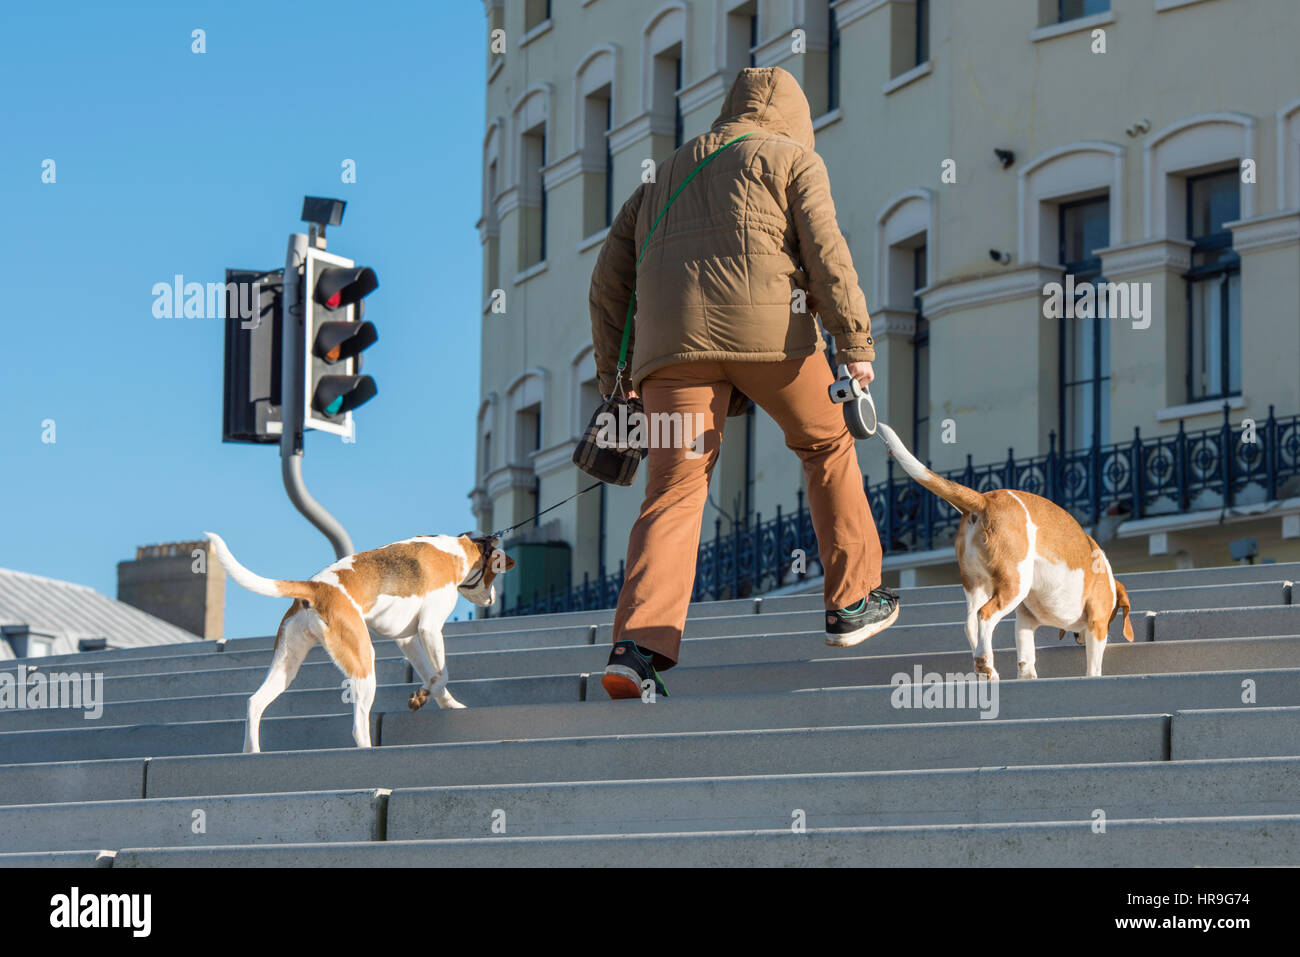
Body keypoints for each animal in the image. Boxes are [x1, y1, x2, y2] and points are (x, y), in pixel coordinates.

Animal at [202, 530, 512, 748]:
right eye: (494, 576)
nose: (492, 599)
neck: (456, 551)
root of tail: (315, 586)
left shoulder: (409, 639)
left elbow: (433, 676)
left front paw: (444, 703)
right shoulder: (430, 628)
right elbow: (443, 673)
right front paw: (422, 696)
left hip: (286, 666)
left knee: (254, 703)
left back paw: (251, 752)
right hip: (363, 662)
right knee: (359, 727)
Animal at [873, 426, 1138, 681]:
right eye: (1113, 614)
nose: (1077, 640)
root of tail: (985, 500)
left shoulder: (1025, 620)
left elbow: (1026, 659)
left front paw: (1027, 677)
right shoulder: (1097, 621)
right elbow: (1094, 665)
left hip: (975, 583)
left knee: (971, 623)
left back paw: (987, 668)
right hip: (1014, 585)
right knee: (985, 614)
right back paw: (984, 662)